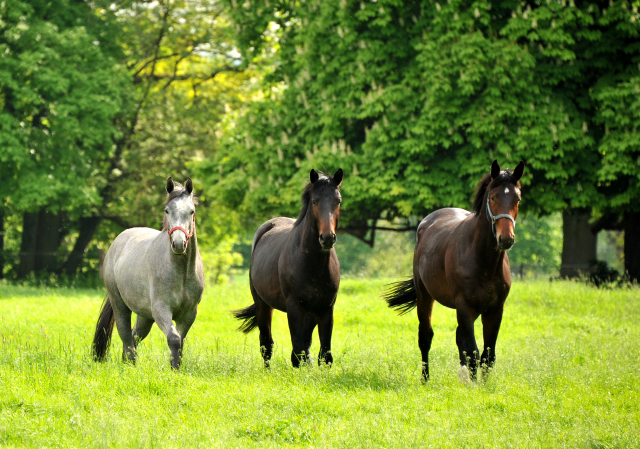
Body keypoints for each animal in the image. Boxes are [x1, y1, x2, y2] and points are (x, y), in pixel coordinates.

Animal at [90, 177, 202, 370]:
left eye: (191, 211)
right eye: (167, 210)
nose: (179, 244)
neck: (181, 272)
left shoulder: (189, 313)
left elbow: (180, 341)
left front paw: (176, 367)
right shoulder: (161, 309)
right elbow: (174, 339)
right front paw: (174, 369)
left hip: (144, 316)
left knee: (135, 335)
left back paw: (127, 362)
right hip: (120, 305)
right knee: (126, 334)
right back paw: (130, 365)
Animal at [232, 168, 342, 368]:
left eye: (338, 201)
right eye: (315, 201)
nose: (327, 238)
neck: (312, 265)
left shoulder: (325, 308)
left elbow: (324, 354)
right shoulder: (294, 307)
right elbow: (298, 350)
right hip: (263, 305)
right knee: (266, 343)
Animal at [384, 159, 524, 380]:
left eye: (517, 199)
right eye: (493, 197)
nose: (506, 238)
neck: (483, 262)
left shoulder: (495, 310)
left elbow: (487, 355)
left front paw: (482, 384)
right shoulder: (464, 306)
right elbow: (473, 351)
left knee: (460, 339)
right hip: (425, 297)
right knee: (426, 336)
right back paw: (425, 379)